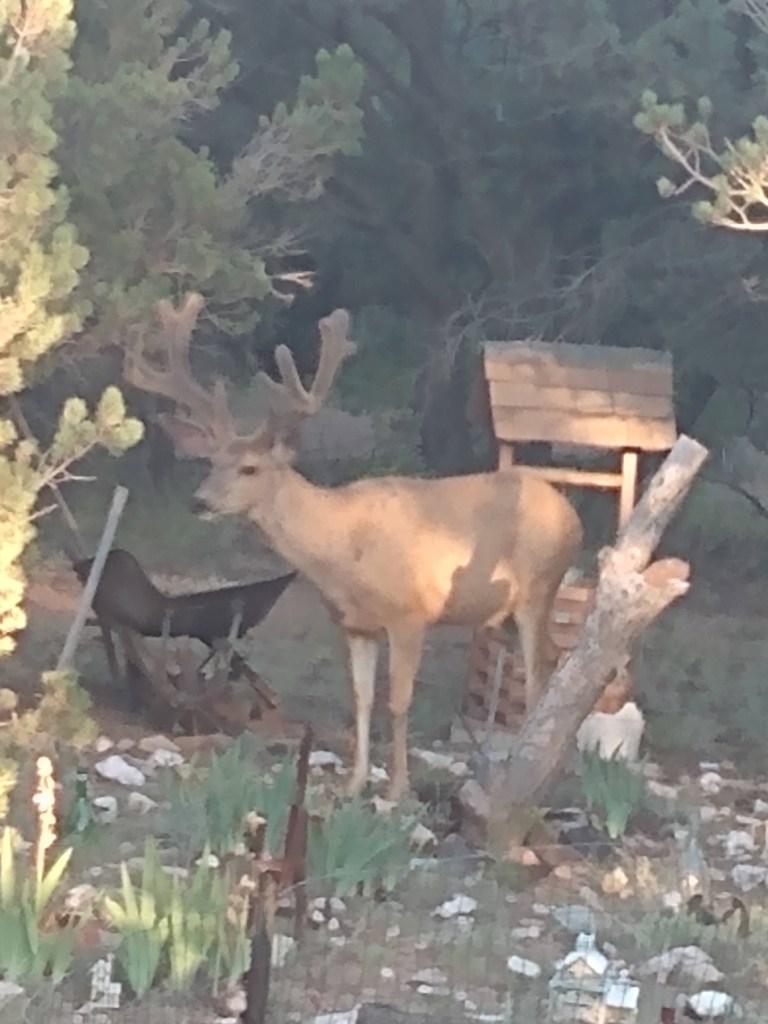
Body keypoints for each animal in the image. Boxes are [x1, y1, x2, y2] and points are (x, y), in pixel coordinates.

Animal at [124, 293, 583, 801]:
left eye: (249, 468)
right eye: (211, 462)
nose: (199, 501)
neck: (342, 549)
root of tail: (572, 515)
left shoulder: (411, 614)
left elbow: (397, 701)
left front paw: (397, 789)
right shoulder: (355, 625)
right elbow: (361, 700)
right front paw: (354, 782)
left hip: (539, 587)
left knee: (543, 672)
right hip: (501, 614)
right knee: (548, 664)